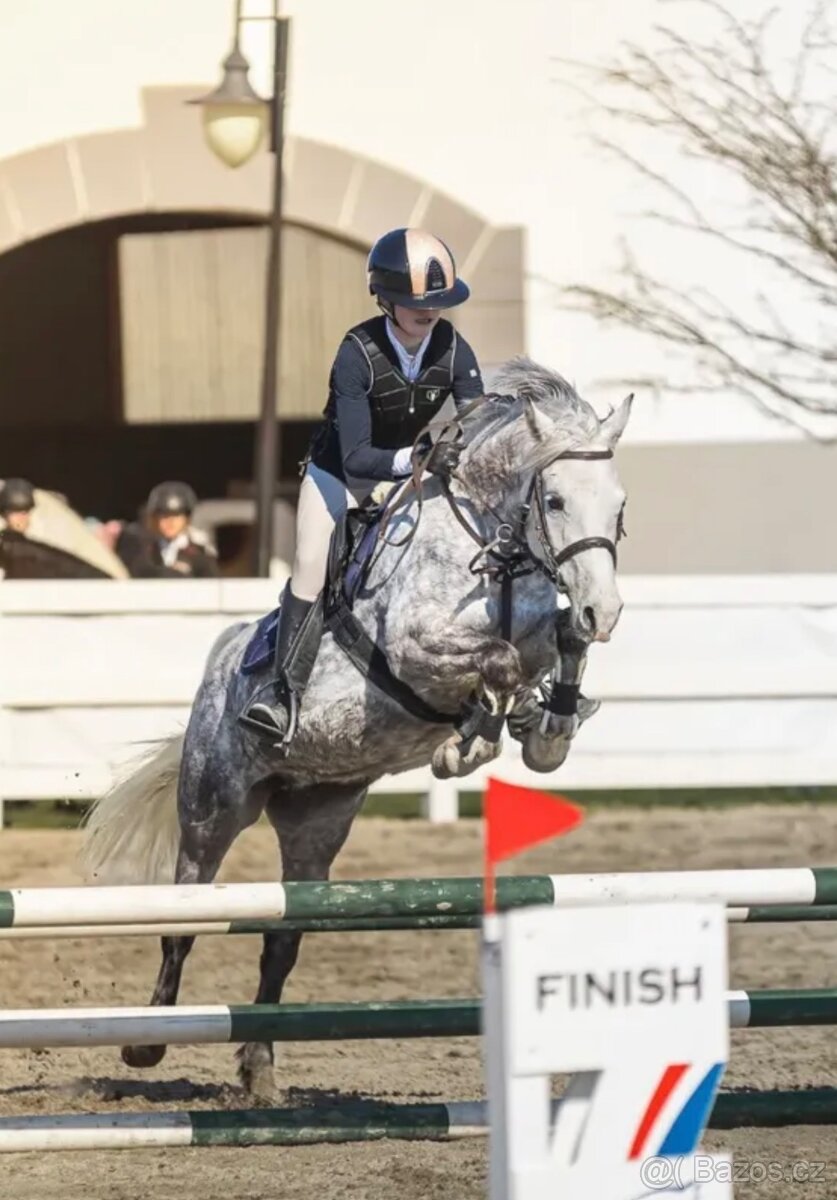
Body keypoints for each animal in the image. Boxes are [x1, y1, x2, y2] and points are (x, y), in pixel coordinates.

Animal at [80, 356, 632, 1097]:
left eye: (618, 505)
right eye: (557, 502)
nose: (608, 610)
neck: (492, 544)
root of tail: (218, 669)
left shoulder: (543, 631)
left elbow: (552, 645)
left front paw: (545, 728)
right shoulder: (414, 647)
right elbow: (499, 658)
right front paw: (471, 742)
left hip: (318, 822)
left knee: (283, 937)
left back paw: (259, 1068)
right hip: (213, 808)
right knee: (183, 919)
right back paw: (146, 1044)